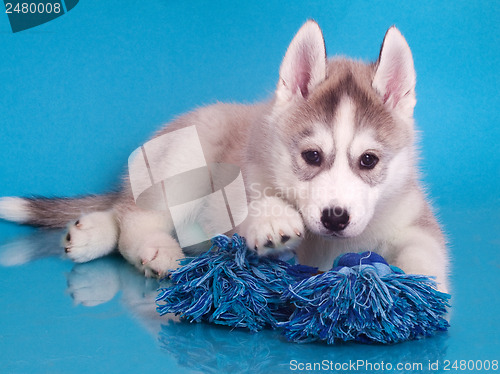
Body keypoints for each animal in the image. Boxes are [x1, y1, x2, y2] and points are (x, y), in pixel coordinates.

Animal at [0, 21, 450, 292]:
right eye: (312, 155)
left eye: (369, 160)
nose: (335, 218)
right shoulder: (232, 190)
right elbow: (251, 204)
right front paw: (272, 219)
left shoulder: (413, 220)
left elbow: (426, 252)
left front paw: (423, 288)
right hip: (184, 161)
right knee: (133, 217)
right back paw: (155, 250)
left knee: (118, 209)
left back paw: (89, 234)